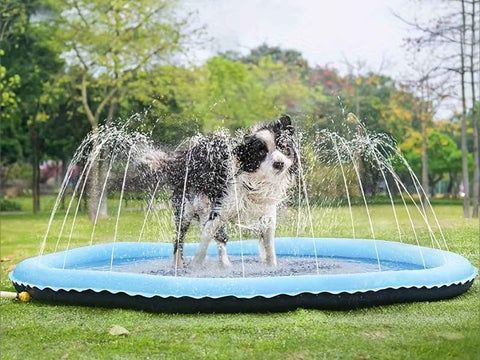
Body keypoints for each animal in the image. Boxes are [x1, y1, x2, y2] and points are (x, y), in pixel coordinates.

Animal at [146, 114, 296, 268]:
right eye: (261, 152)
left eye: (283, 147)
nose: (279, 163)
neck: (255, 181)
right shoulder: (220, 207)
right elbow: (205, 237)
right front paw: (195, 266)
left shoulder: (267, 210)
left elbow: (269, 243)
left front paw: (272, 266)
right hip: (186, 209)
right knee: (179, 239)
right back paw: (179, 265)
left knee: (220, 238)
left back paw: (225, 266)